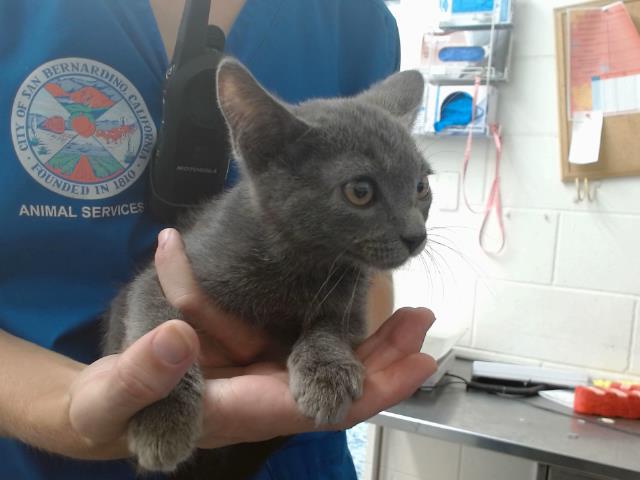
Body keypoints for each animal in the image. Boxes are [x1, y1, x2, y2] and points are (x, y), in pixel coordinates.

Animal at [105, 59, 432, 472]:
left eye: (421, 187)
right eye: (360, 191)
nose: (416, 235)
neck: (301, 262)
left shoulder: (353, 302)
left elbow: (331, 326)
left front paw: (326, 372)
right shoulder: (162, 271)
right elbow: (159, 320)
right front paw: (162, 415)